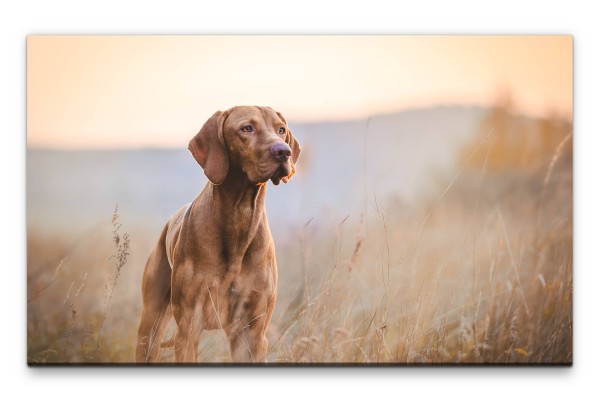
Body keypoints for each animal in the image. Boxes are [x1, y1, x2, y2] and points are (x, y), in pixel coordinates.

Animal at [135, 104, 300, 360]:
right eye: (247, 128)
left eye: (281, 130)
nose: (284, 152)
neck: (239, 217)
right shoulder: (189, 328)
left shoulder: (252, 334)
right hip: (150, 325)